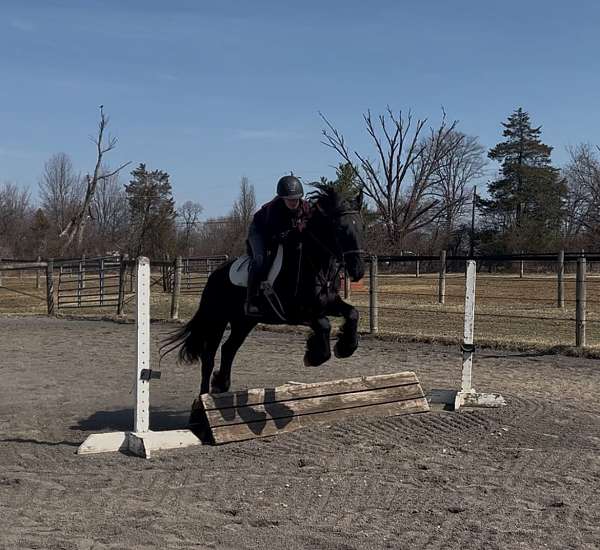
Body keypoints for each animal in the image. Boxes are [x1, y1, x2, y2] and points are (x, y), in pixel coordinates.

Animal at [161, 185, 366, 396]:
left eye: (362, 227)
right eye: (340, 229)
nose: (358, 271)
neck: (314, 264)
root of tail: (215, 274)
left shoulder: (327, 304)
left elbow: (353, 313)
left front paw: (345, 347)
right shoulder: (296, 312)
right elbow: (324, 325)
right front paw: (313, 355)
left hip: (244, 322)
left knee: (228, 349)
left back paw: (221, 384)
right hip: (216, 320)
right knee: (209, 356)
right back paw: (203, 397)